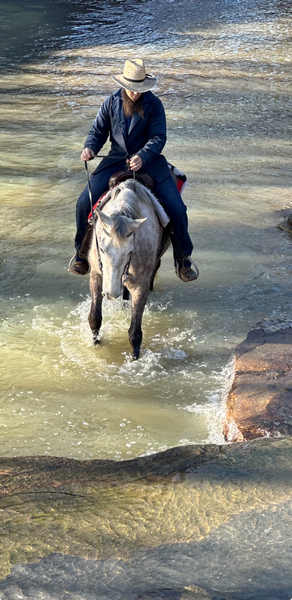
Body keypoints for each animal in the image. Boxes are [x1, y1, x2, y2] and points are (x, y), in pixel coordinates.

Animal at [88, 176, 170, 358]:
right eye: (102, 248)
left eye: (130, 251)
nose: (111, 293)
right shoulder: (96, 275)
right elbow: (95, 319)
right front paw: (95, 344)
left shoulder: (140, 285)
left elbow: (135, 333)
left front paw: (135, 359)